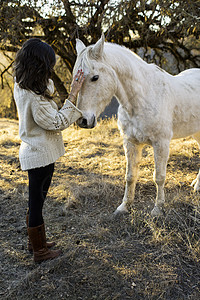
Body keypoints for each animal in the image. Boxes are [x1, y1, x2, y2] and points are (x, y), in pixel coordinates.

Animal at [72, 34, 200, 216]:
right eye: (76, 77)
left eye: (95, 77)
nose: (83, 120)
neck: (143, 97)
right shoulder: (130, 142)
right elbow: (130, 176)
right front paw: (124, 207)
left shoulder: (161, 143)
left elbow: (159, 177)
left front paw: (158, 209)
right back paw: (196, 185)